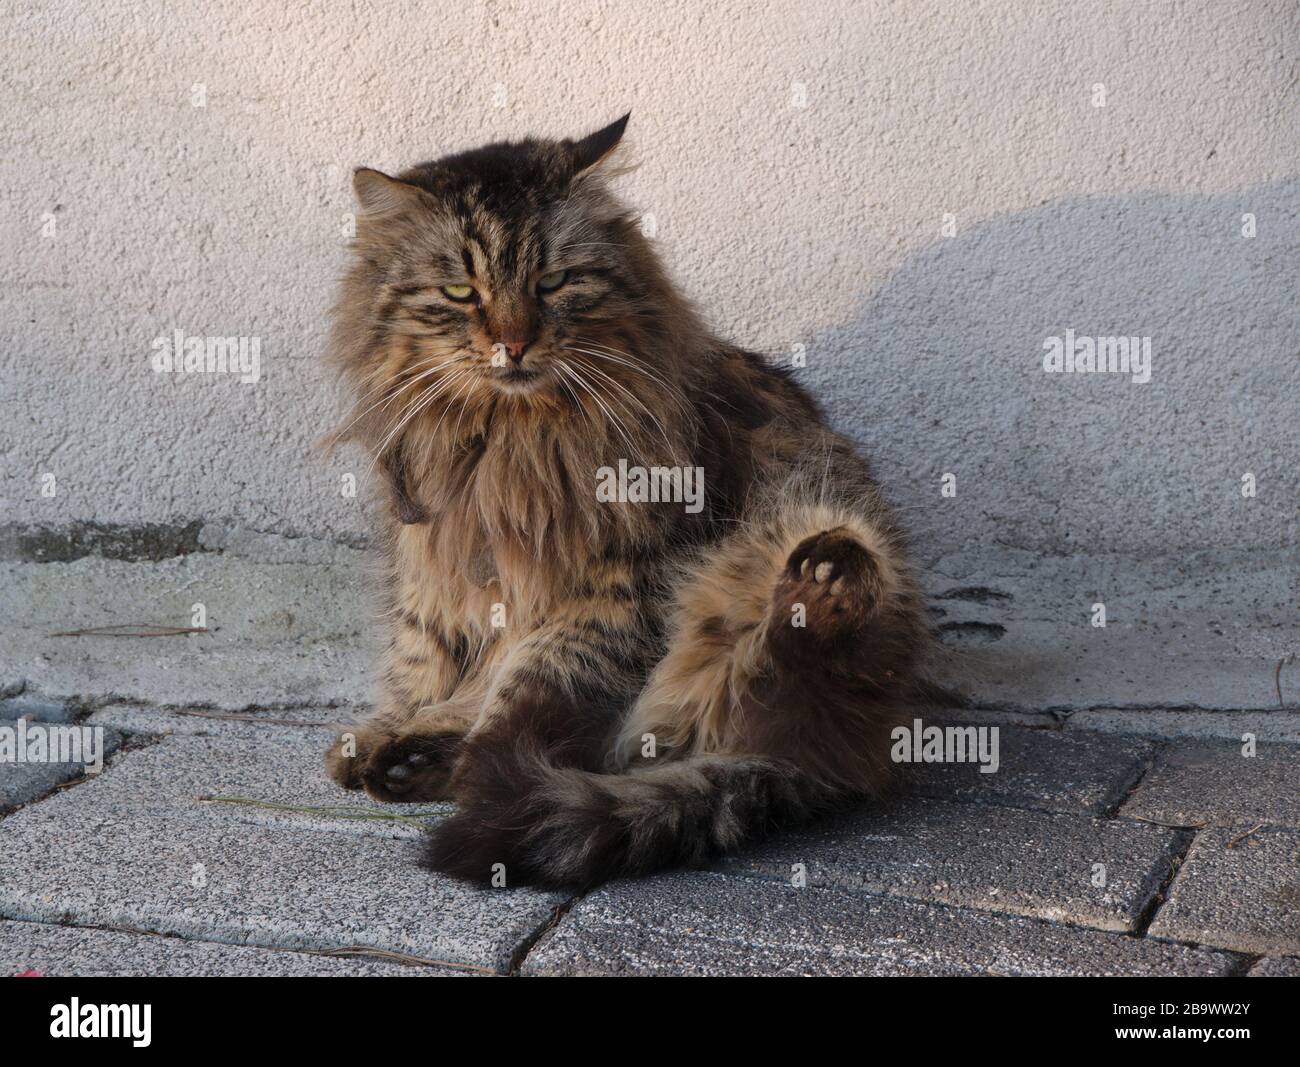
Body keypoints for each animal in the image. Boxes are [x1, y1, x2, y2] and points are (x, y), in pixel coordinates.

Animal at [327, 112, 935, 888]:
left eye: (554, 281)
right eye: (462, 292)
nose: (513, 343)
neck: (508, 439)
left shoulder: (615, 586)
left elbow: (526, 684)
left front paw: (485, 770)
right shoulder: (432, 555)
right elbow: (422, 659)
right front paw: (393, 725)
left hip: (794, 532)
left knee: (749, 687)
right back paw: (402, 759)